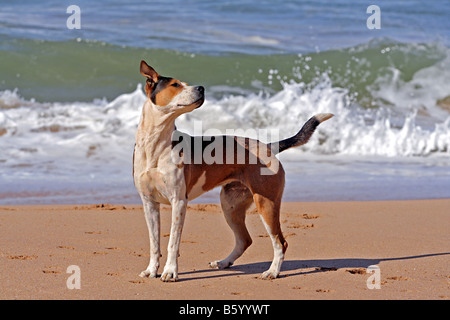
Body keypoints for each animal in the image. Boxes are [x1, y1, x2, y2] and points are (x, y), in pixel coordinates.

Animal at [132, 60, 332, 282]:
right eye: (175, 85)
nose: (201, 88)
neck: (156, 144)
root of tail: (268, 147)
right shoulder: (149, 203)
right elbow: (154, 243)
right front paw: (151, 270)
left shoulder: (179, 202)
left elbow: (172, 242)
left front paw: (170, 271)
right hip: (230, 206)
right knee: (245, 240)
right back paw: (224, 262)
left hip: (266, 204)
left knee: (280, 242)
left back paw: (272, 271)